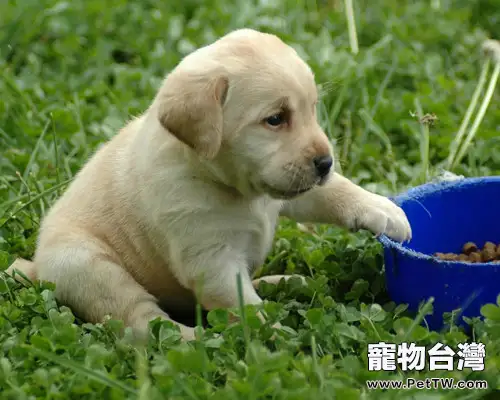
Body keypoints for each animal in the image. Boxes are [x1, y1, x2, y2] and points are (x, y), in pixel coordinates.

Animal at [5, 28, 412, 340]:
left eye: (312, 109)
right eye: (275, 119)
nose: (326, 162)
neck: (234, 188)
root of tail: (37, 267)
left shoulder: (290, 190)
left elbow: (333, 191)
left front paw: (384, 210)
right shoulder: (210, 258)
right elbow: (243, 306)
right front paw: (273, 335)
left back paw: (282, 281)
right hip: (87, 265)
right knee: (143, 323)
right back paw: (190, 338)